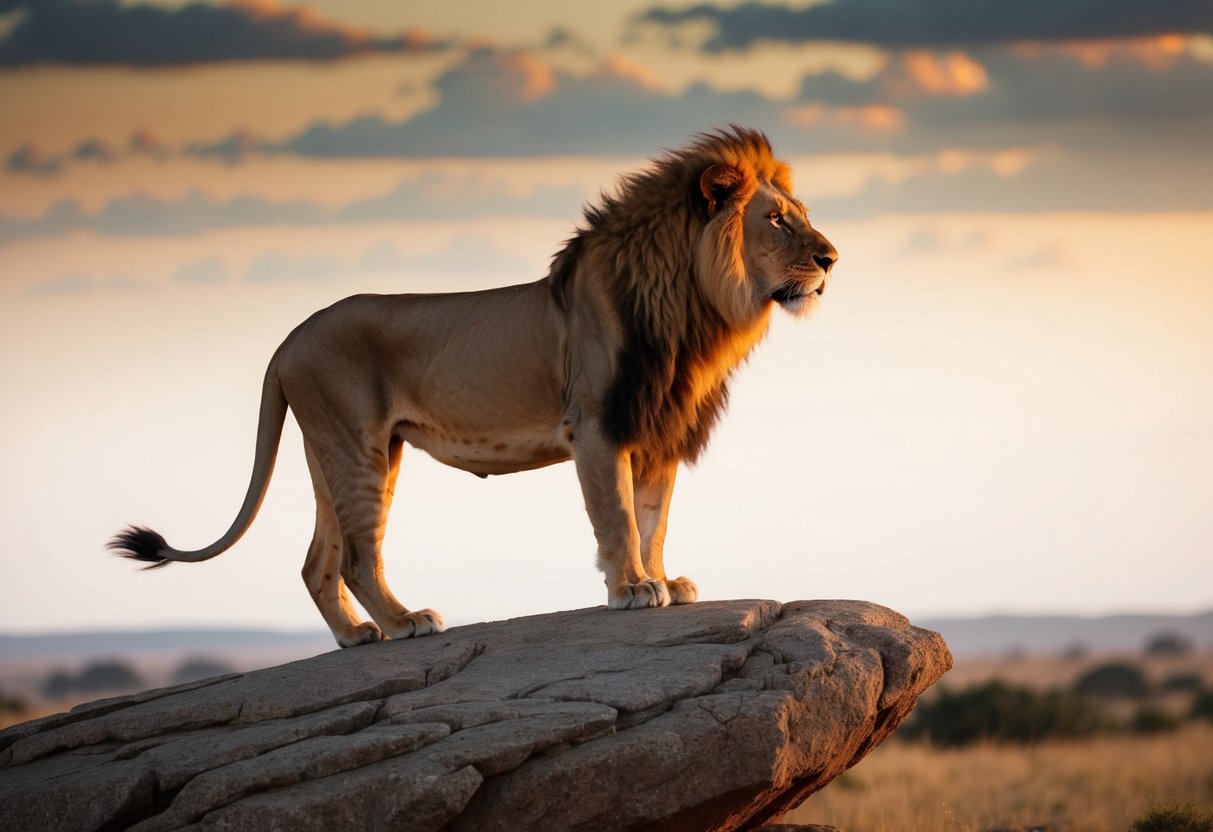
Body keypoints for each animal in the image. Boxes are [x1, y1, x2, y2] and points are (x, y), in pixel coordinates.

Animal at [109, 128, 834, 650]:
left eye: (798, 215)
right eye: (775, 220)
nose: (830, 257)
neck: (691, 309)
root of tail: (290, 337)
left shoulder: (655, 430)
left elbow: (653, 520)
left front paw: (662, 580)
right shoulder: (598, 426)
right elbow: (619, 518)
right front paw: (632, 589)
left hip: (334, 452)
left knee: (318, 560)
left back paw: (356, 635)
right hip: (358, 445)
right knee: (357, 558)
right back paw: (404, 623)